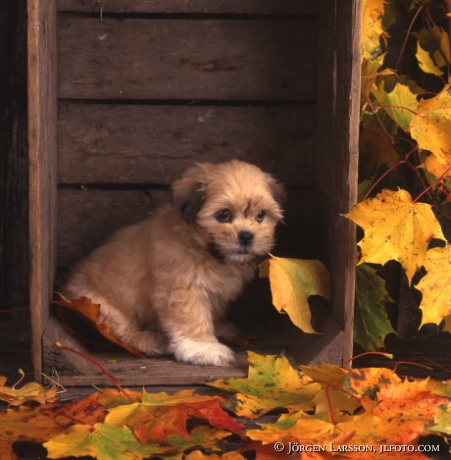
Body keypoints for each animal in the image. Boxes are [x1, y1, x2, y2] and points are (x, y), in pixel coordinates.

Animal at [65, 162, 284, 366]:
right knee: (117, 330)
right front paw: (204, 349)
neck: (203, 249)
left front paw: (221, 327)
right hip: (95, 304)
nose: (246, 236)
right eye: (224, 215)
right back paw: (149, 340)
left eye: (261, 215)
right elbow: (193, 317)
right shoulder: (182, 287)